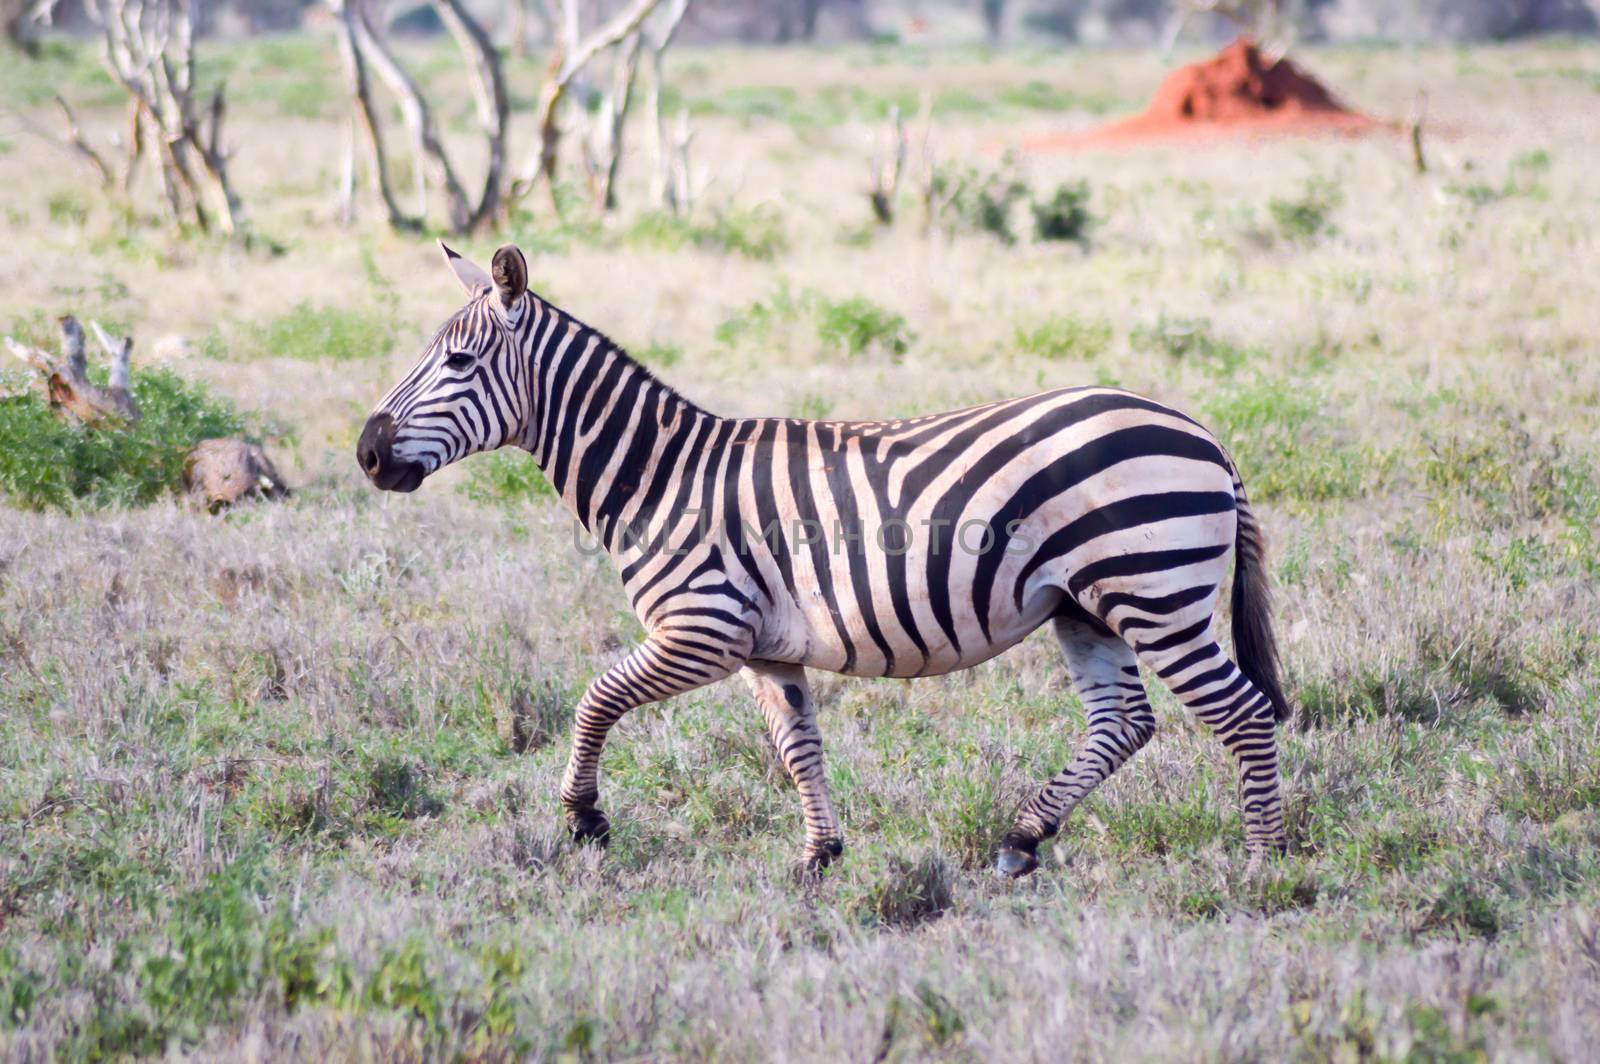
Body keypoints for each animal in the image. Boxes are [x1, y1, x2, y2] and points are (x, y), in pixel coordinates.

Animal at [356, 244, 1292, 876]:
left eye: (458, 361)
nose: (366, 452)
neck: (658, 477)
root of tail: (1203, 433)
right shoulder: (767, 650)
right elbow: (798, 744)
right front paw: (820, 856)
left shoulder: (702, 631)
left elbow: (596, 698)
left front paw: (585, 819)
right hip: (1084, 606)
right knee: (1123, 723)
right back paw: (1022, 838)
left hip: (1155, 596)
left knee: (1242, 715)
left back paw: (1262, 863)